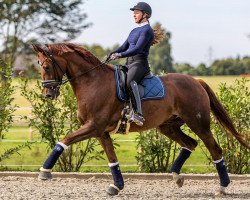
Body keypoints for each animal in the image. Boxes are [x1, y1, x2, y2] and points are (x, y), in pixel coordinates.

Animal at [32, 43, 249, 195]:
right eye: (39, 66)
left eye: (46, 66)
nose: (48, 94)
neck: (92, 82)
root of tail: (196, 81)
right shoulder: (101, 132)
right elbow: (112, 159)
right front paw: (116, 186)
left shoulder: (93, 126)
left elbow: (64, 140)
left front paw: (44, 171)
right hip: (167, 126)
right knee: (190, 143)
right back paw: (177, 176)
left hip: (198, 123)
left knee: (215, 149)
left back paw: (222, 187)